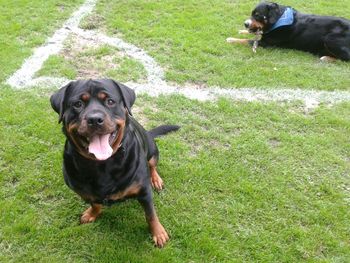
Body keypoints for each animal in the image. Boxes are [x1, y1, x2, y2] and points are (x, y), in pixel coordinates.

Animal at [50, 79, 179, 249]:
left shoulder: (144, 190)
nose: (94, 119)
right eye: (77, 104)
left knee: (152, 165)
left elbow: (151, 214)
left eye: (110, 101)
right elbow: (94, 203)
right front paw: (92, 213)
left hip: (151, 149)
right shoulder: (82, 191)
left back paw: (156, 179)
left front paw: (158, 233)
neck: (102, 165)